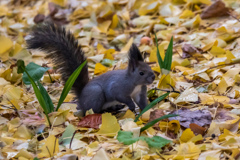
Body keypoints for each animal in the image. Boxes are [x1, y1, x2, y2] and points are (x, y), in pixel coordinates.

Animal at [26, 22, 156, 115]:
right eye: (141, 73)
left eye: (149, 67)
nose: (153, 77)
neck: (134, 83)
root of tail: (81, 97)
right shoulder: (119, 88)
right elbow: (122, 96)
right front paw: (132, 106)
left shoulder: (139, 92)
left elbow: (142, 102)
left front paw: (147, 110)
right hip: (96, 94)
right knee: (93, 110)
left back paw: (117, 107)